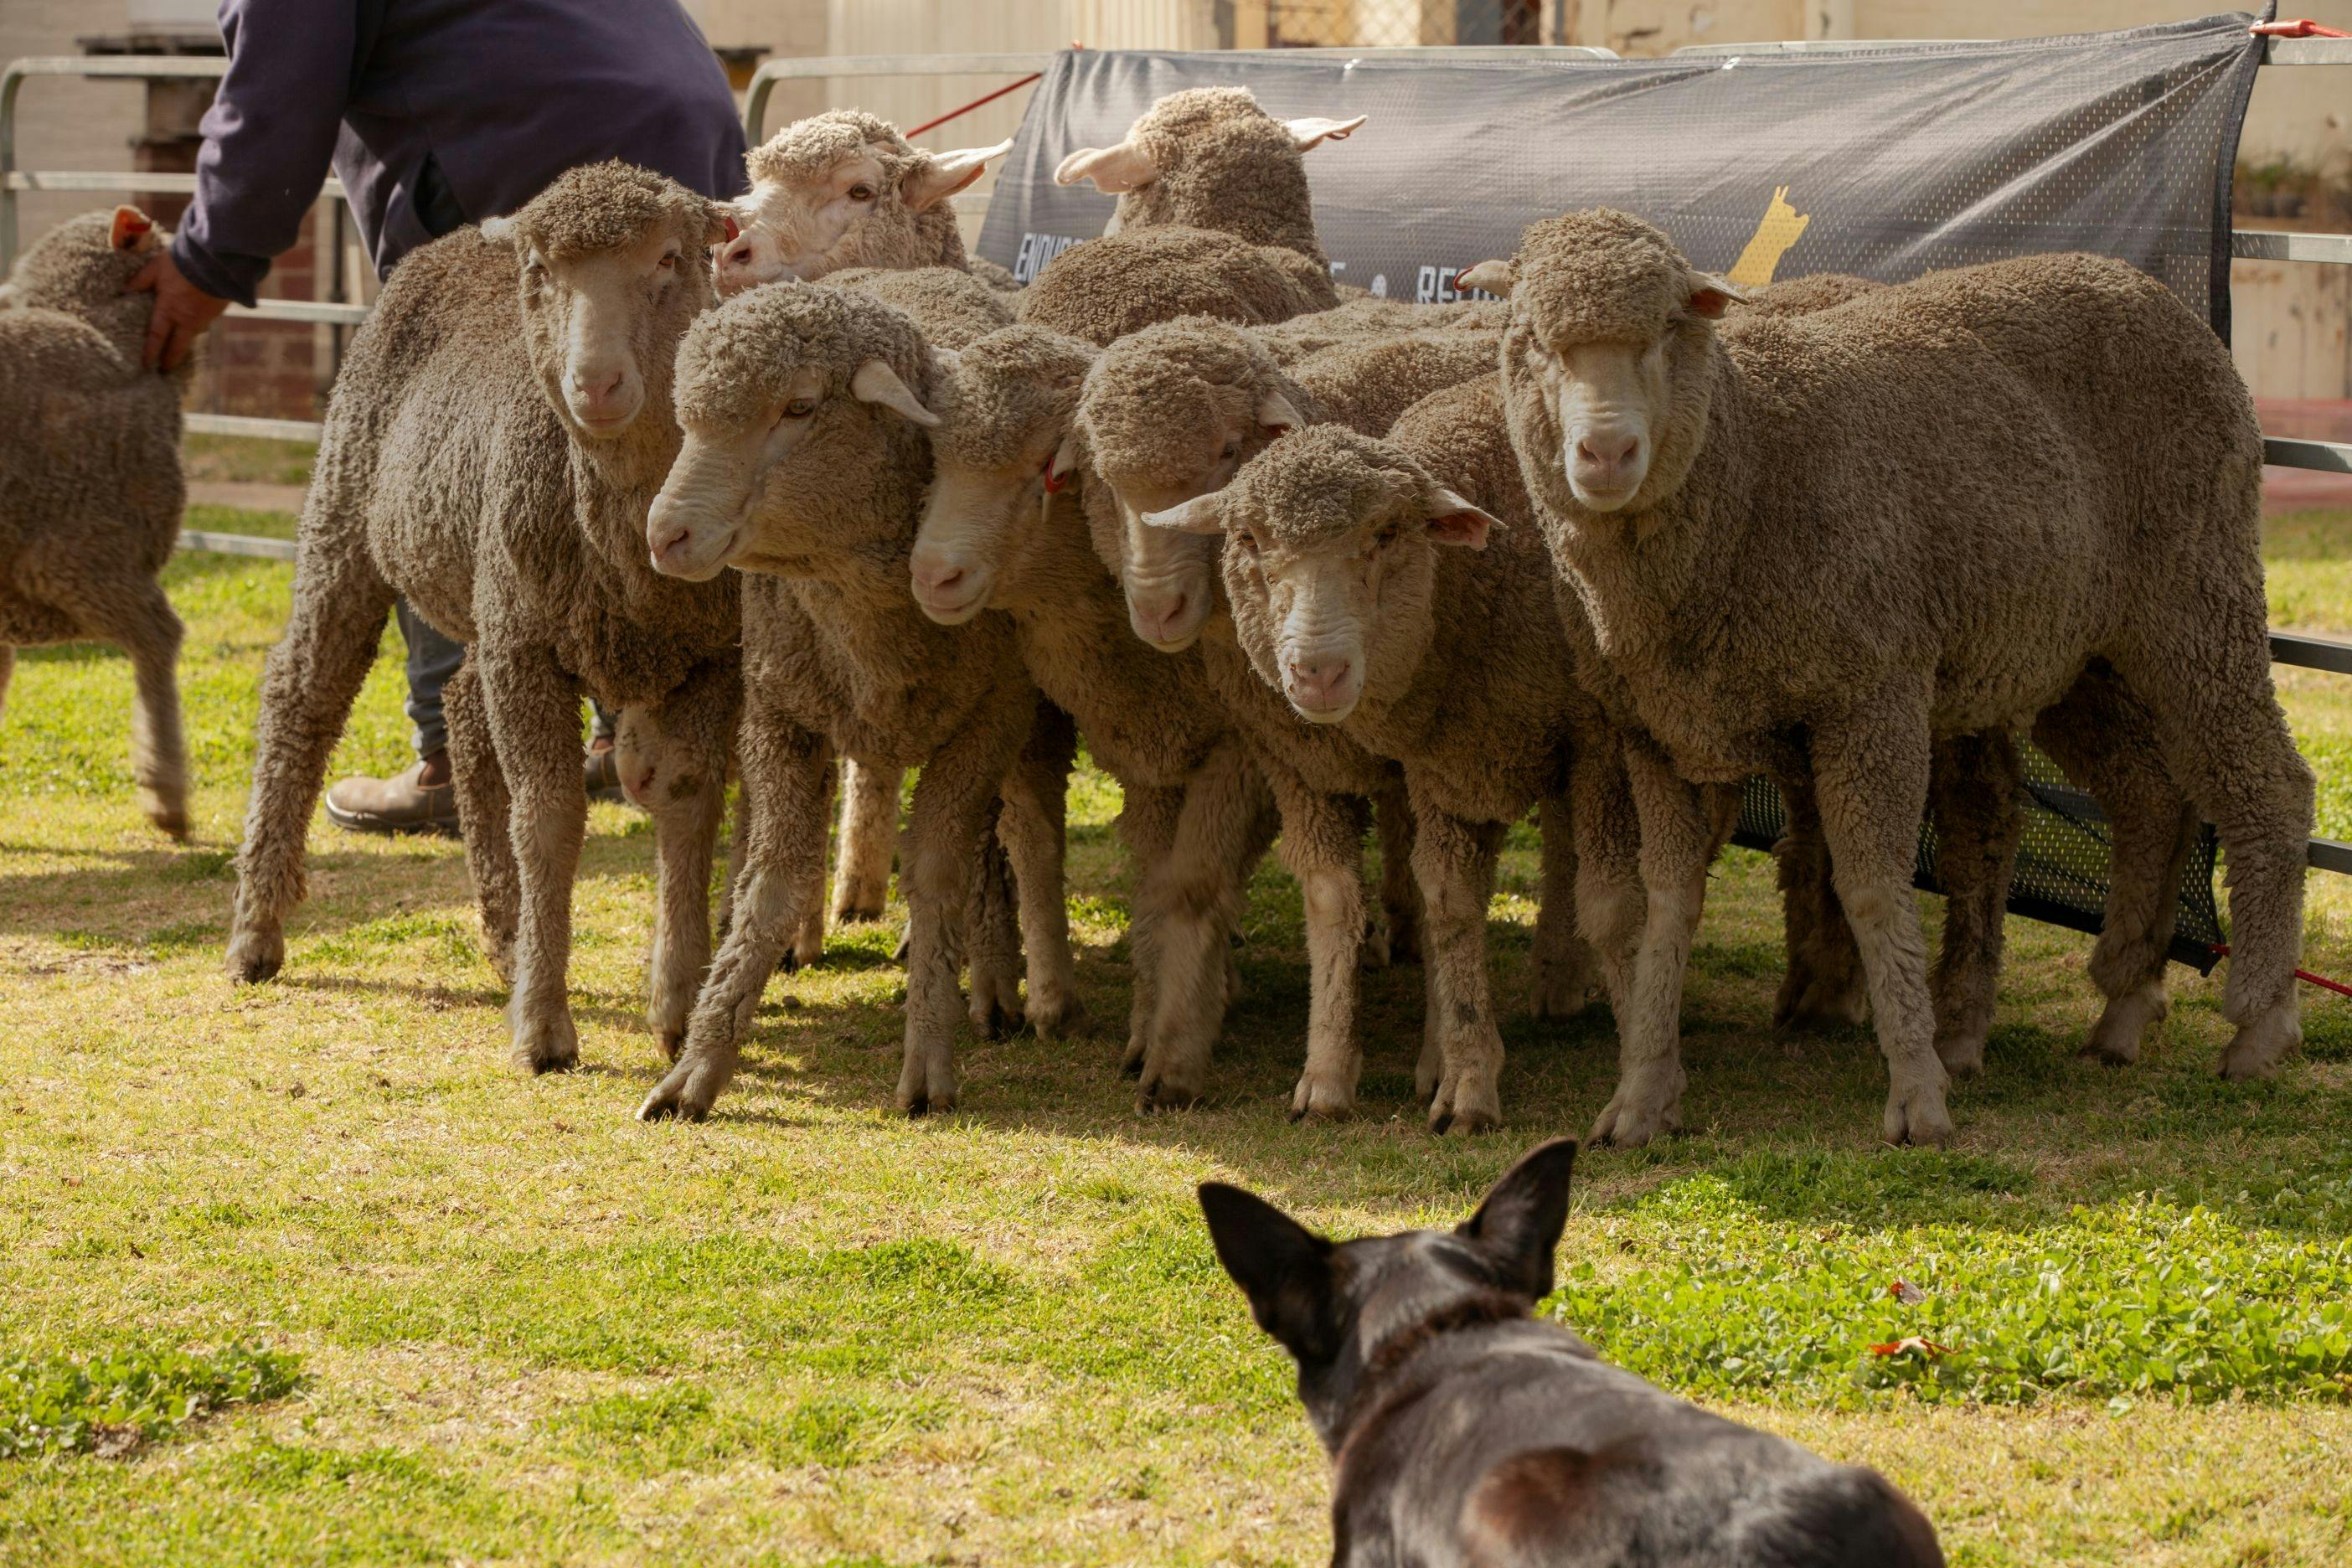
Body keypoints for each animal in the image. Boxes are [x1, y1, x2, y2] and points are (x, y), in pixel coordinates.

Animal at [637, 280, 1071, 1121]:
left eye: (800, 407)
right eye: (686, 416)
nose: (665, 535)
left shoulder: (989, 720)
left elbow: (939, 873)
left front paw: (929, 1058)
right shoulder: (779, 718)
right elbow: (775, 883)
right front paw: (699, 1065)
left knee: (1013, 835)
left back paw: (1004, 982)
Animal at [907, 321, 1277, 1107]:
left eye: (1046, 472)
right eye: (933, 458)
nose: (932, 576)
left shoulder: (1227, 734)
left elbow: (1185, 880)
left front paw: (1170, 1034)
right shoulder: (1083, 709)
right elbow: (1056, 844)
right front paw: (1084, 1008)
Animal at [1143, 377, 1622, 1131]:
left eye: (1387, 534)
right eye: (1248, 538)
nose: (1317, 674)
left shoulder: (1576, 743)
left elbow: (1452, 903)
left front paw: (1465, 1078)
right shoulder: (1316, 767)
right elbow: (1342, 902)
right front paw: (1328, 1074)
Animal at [1481, 209, 2310, 1147]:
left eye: (1668, 327)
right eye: (1531, 340)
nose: (1607, 451)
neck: (1749, 461)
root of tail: (2155, 292)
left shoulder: (1871, 694)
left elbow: (1875, 890)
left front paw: (1917, 1093)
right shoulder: (1661, 731)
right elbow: (1667, 906)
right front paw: (1643, 1093)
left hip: (2197, 596)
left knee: (2269, 784)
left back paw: (2260, 1024)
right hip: (2074, 649)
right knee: (2151, 797)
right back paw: (2124, 1007)